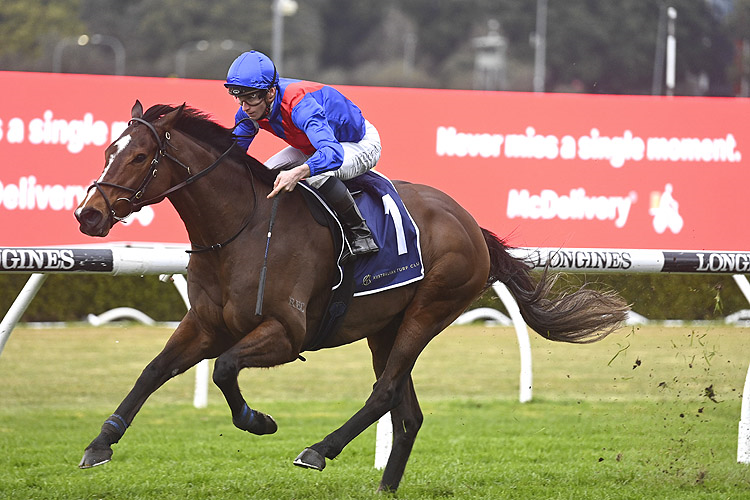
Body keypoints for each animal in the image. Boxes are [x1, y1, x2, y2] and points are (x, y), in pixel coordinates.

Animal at [75, 101, 628, 492]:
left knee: (384, 393)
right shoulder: (205, 324)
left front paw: (259, 421)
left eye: (140, 156)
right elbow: (153, 370)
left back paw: (320, 449)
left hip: (429, 309)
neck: (241, 229)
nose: (88, 214)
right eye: (106, 151)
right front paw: (101, 442)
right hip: (385, 327)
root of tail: (470, 223)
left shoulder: (286, 332)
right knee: (407, 412)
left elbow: (225, 369)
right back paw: (383, 487)